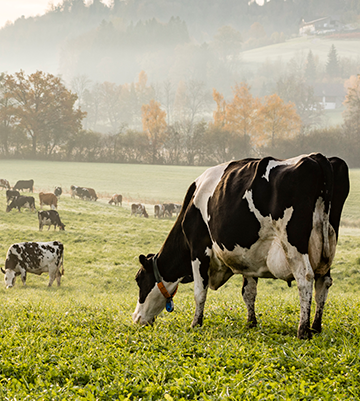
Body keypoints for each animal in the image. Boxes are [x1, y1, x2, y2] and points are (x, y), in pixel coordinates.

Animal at [132, 153, 348, 338]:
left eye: (139, 279)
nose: (136, 318)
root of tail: (316, 157)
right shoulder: (249, 257)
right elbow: (248, 292)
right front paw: (251, 323)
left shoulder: (198, 248)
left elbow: (199, 292)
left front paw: (195, 323)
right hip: (327, 246)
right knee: (323, 282)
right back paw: (316, 326)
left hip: (294, 243)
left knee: (305, 278)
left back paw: (303, 330)